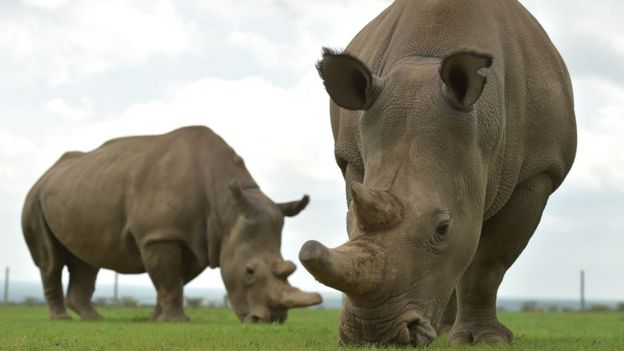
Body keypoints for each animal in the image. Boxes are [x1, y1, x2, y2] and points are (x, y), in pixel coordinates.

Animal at [20, 126, 322, 324]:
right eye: (248, 271)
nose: (271, 321)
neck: (227, 209)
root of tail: (46, 174)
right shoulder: (160, 235)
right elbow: (168, 279)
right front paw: (175, 322)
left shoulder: (200, 240)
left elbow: (172, 280)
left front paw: (158, 319)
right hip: (34, 200)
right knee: (51, 262)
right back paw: (61, 319)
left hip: (80, 188)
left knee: (86, 260)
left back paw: (93, 319)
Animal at [300, 0, 576, 346]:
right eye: (348, 221)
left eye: (443, 228)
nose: (374, 334)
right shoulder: (353, 159)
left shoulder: (539, 171)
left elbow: (487, 262)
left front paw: (486, 341)